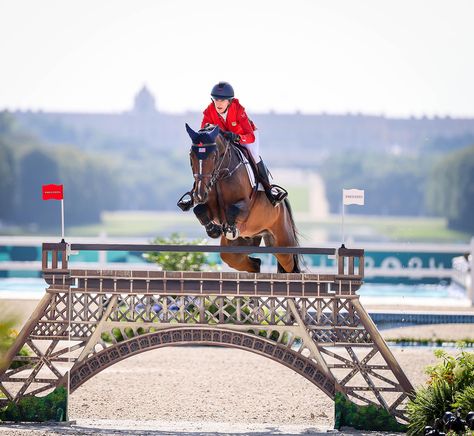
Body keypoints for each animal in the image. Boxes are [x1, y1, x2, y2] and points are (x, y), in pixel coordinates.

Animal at [184, 123, 300, 272]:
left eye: (213, 156)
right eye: (191, 155)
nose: (199, 194)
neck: (221, 176)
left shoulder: (246, 207)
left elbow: (233, 210)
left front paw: (230, 229)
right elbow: (198, 210)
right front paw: (214, 230)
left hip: (283, 244)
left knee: (290, 266)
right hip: (239, 247)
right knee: (252, 262)